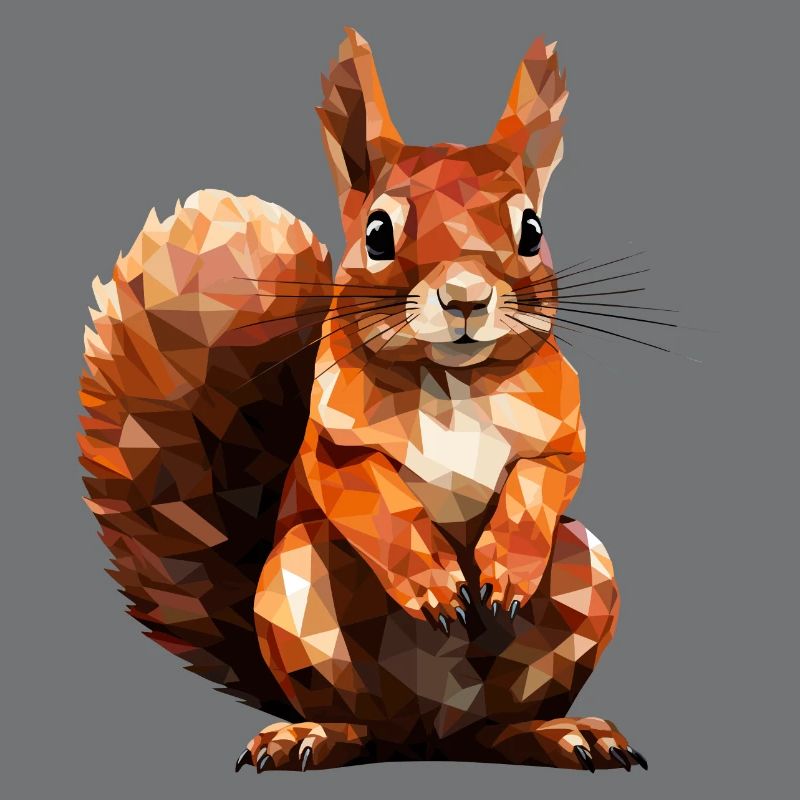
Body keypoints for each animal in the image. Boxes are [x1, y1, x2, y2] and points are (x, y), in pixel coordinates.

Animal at [78, 28, 647, 774]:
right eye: (377, 234)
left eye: (532, 230)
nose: (465, 298)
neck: (453, 383)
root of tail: (433, 736)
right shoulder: (332, 441)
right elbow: (372, 495)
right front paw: (433, 581)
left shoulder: (561, 429)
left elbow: (544, 478)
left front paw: (505, 568)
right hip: (296, 592)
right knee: (361, 724)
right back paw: (312, 734)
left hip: (587, 575)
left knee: (499, 728)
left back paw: (562, 732)